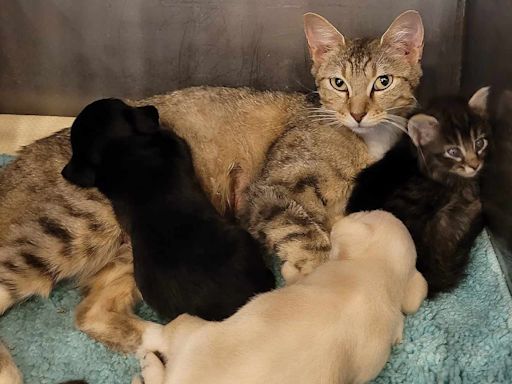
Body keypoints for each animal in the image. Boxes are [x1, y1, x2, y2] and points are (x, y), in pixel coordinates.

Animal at [135, 210, 428, 384]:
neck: (379, 272)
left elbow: (295, 277)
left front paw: (288, 268)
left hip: (191, 328)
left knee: (164, 340)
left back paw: (147, 353)